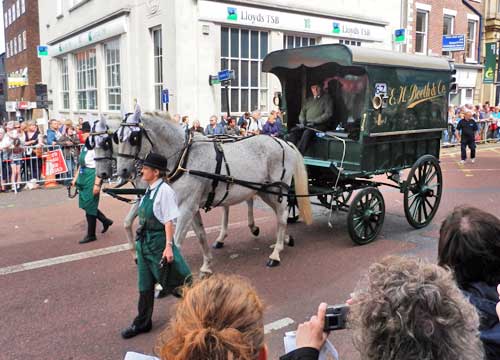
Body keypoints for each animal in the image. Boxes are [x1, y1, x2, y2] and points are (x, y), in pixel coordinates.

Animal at [113, 111, 312, 274]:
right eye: (117, 137)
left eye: (134, 137)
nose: (121, 171)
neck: (184, 158)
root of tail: (284, 142)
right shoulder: (189, 207)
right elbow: (201, 236)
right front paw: (207, 264)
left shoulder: (186, 208)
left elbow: (176, 241)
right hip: (263, 190)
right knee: (278, 213)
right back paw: (283, 239)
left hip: (275, 190)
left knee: (282, 215)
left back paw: (276, 253)